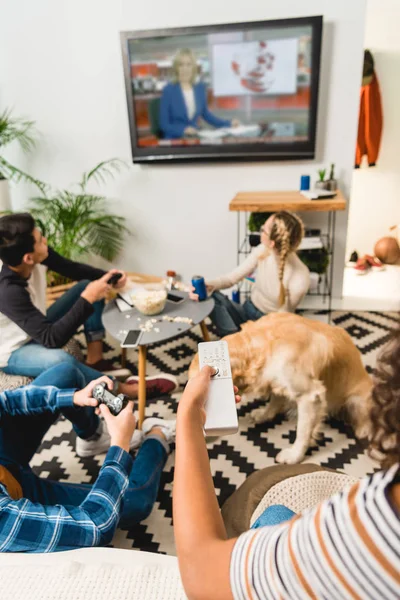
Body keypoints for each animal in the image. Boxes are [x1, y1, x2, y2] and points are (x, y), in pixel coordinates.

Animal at [189, 312, 374, 466]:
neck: (264, 344)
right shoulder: (276, 377)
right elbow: (274, 400)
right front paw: (264, 414)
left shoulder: (310, 395)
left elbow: (302, 432)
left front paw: (294, 456)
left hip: (357, 400)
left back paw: (364, 431)